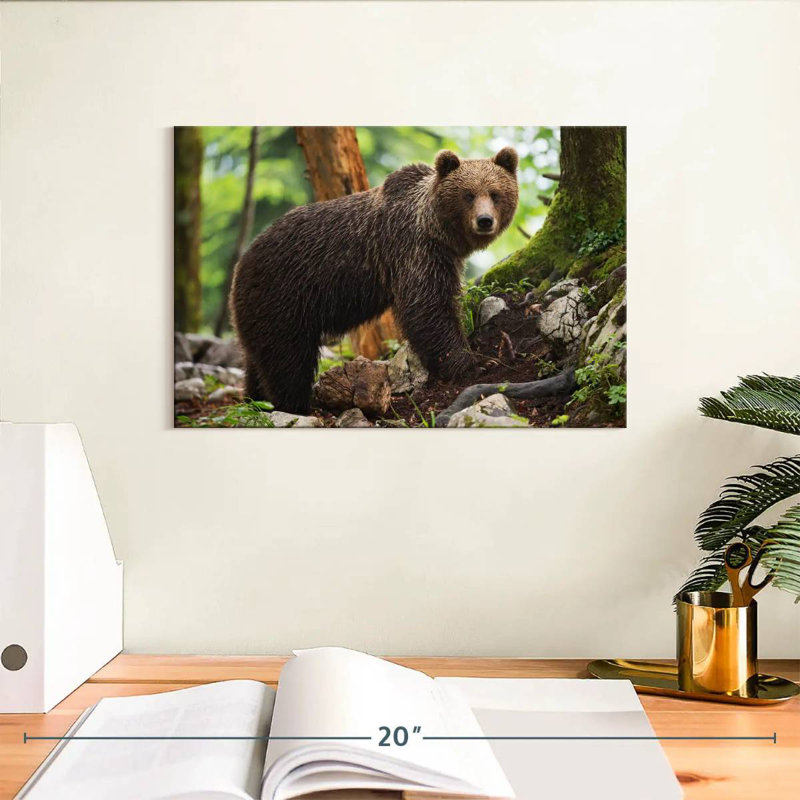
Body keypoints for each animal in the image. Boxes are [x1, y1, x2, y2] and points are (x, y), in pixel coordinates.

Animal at [230, 146, 519, 414]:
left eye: (495, 193)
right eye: (468, 195)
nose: (484, 220)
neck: (437, 230)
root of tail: (240, 264)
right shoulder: (414, 250)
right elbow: (428, 307)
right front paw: (476, 363)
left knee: (258, 359)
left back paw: (255, 399)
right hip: (284, 296)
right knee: (288, 359)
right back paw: (294, 404)